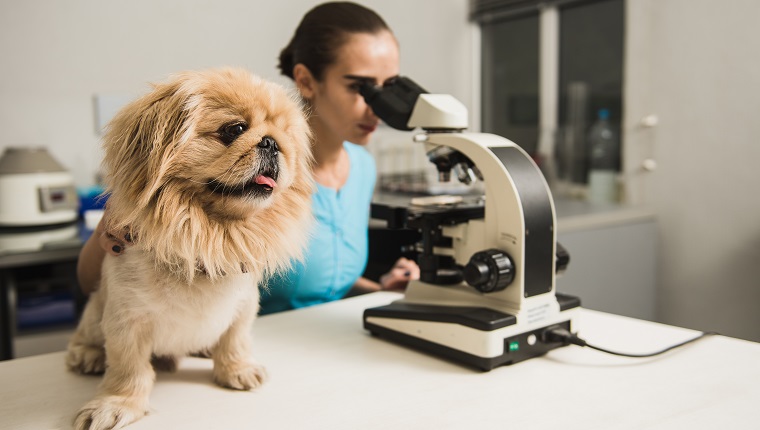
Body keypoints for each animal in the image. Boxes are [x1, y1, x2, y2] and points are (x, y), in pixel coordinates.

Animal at [65, 69, 314, 428]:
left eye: (286, 138)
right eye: (235, 129)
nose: (271, 142)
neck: (207, 234)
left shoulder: (243, 308)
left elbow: (235, 341)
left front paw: (237, 370)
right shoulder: (126, 320)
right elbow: (128, 369)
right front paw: (116, 404)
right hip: (95, 310)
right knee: (87, 337)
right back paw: (88, 355)